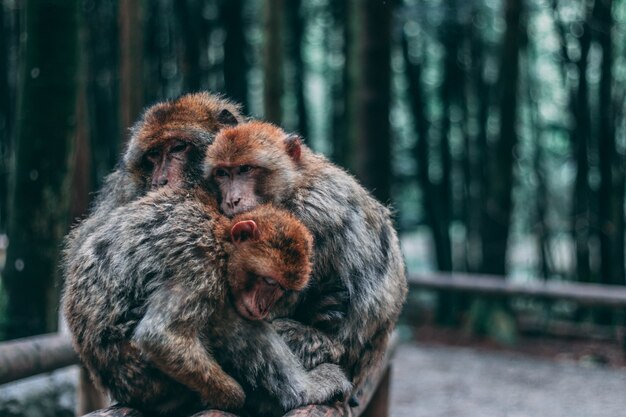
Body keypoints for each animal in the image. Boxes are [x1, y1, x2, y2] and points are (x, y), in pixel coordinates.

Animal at [62, 187, 352, 416]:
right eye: (269, 281)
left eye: (281, 288)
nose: (263, 308)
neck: (218, 234)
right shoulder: (202, 263)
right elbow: (159, 336)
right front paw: (235, 398)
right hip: (142, 375)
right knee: (225, 317)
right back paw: (304, 391)